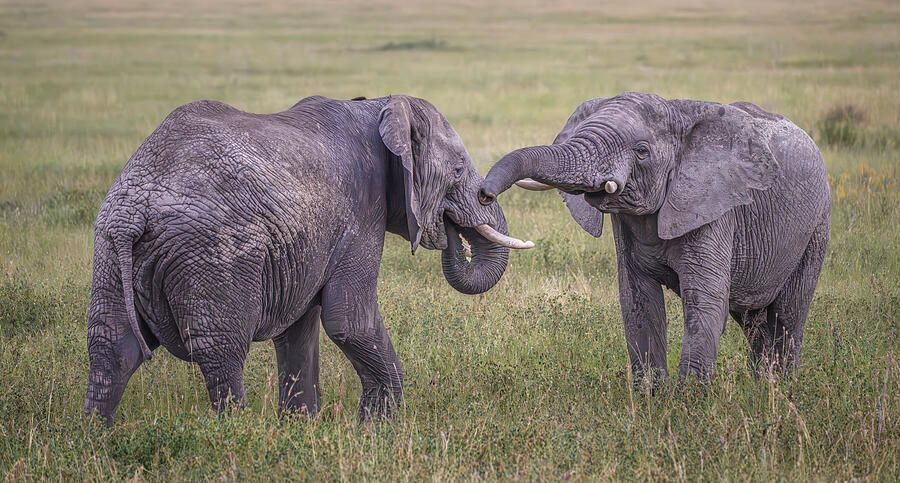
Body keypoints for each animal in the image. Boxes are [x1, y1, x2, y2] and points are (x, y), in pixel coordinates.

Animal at [82, 93, 536, 424]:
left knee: (112, 346)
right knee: (220, 350)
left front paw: (301, 429)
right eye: (458, 170)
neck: (380, 105)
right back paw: (234, 436)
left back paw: (95, 435)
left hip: (108, 249)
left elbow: (298, 330)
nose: (450, 230)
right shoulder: (360, 213)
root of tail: (134, 212)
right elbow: (349, 321)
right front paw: (374, 431)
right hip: (211, 255)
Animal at [482, 92, 832, 384]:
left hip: (816, 227)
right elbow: (638, 300)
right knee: (752, 318)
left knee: (788, 314)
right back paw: (762, 386)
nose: (484, 194)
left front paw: (689, 404)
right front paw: (651, 399)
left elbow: (704, 302)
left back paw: (780, 389)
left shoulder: (712, 208)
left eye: (642, 151)